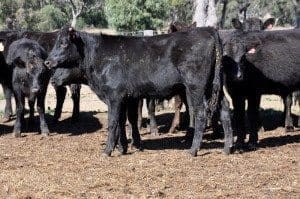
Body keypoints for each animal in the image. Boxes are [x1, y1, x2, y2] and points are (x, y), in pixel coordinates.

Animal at [44, 26, 233, 157]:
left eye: (63, 43)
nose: (47, 62)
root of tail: (207, 29)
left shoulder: (114, 97)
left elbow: (113, 122)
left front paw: (108, 151)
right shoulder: (126, 97)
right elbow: (124, 122)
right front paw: (122, 148)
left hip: (196, 87)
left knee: (200, 113)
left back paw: (193, 150)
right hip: (213, 86)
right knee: (224, 110)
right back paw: (227, 148)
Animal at [224, 19, 298, 149]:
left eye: (243, 58)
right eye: (227, 59)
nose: (237, 76)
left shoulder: (254, 93)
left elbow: (252, 113)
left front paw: (252, 141)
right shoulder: (235, 94)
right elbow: (239, 115)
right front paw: (239, 142)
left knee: (287, 101)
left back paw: (289, 126)